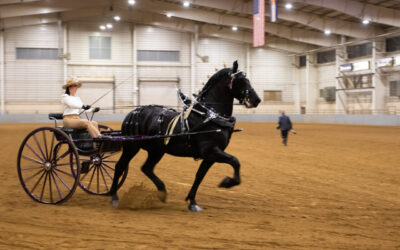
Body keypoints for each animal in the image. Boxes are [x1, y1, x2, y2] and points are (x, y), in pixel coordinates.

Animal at [109, 60, 260, 211]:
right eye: (241, 80)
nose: (256, 100)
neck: (210, 116)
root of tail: (132, 113)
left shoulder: (210, 156)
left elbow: (199, 176)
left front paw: (192, 201)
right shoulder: (211, 151)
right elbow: (235, 161)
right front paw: (227, 182)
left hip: (156, 150)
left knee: (146, 168)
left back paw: (162, 192)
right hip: (131, 147)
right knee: (120, 166)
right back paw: (114, 196)